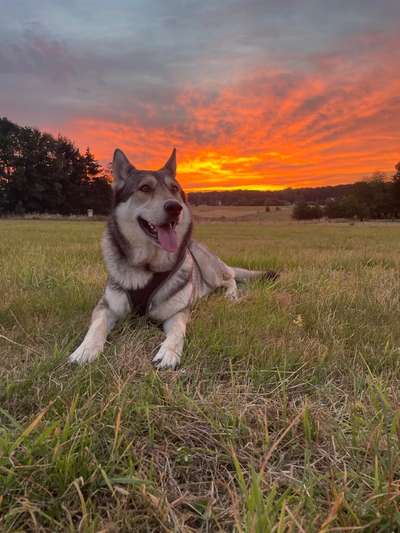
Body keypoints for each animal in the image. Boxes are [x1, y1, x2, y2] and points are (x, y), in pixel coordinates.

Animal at [69, 148, 276, 368]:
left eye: (174, 189)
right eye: (145, 188)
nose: (175, 207)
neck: (148, 266)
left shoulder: (178, 313)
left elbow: (178, 332)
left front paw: (169, 353)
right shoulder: (106, 307)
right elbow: (96, 327)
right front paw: (85, 350)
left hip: (208, 267)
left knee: (230, 278)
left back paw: (231, 295)